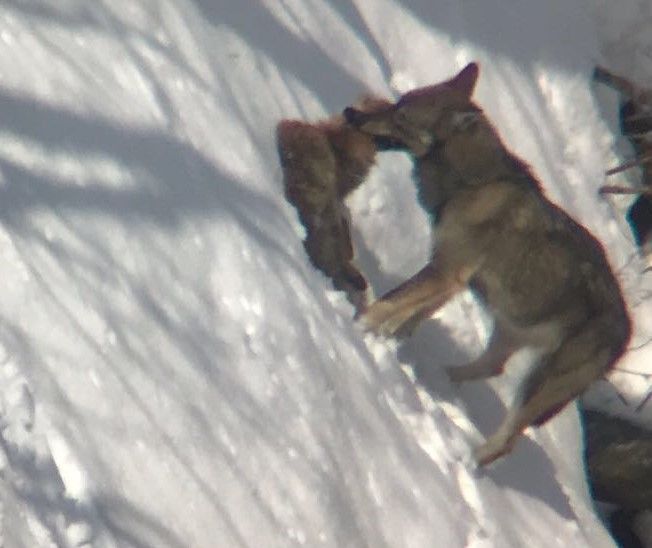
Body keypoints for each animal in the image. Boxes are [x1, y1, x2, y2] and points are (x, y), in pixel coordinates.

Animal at [344, 63, 632, 465]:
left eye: (401, 117)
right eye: (397, 103)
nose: (350, 114)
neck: (472, 183)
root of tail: (626, 335)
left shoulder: (445, 273)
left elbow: (387, 304)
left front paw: (355, 327)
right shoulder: (451, 280)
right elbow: (404, 318)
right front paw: (383, 340)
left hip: (538, 382)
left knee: (505, 441)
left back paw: (466, 460)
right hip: (508, 330)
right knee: (489, 366)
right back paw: (435, 380)